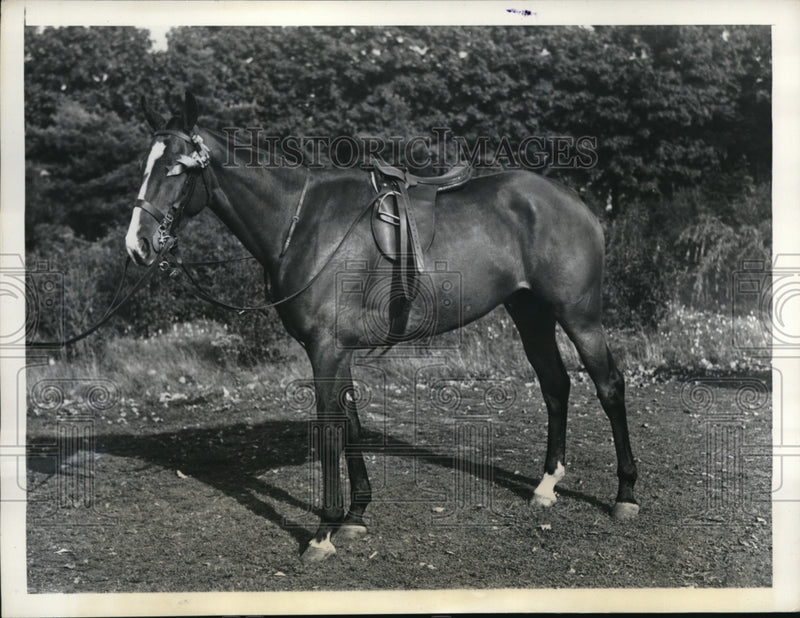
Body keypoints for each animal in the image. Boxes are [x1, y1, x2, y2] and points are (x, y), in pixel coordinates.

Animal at [125, 92, 639, 562]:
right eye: (146, 166)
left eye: (177, 168)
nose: (138, 245)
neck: (302, 222)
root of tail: (572, 201)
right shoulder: (338, 350)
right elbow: (351, 424)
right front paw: (355, 517)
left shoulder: (326, 349)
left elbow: (331, 429)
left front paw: (323, 533)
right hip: (530, 312)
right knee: (555, 385)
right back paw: (546, 485)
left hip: (578, 315)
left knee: (609, 385)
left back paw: (625, 495)